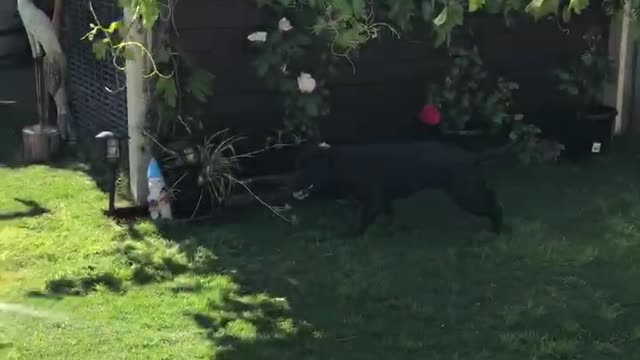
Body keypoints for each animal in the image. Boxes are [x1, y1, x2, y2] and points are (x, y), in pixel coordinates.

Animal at [292, 141, 504, 236]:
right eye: (298, 165)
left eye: (307, 168)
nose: (290, 180)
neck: (343, 164)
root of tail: (471, 157)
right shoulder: (385, 200)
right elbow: (389, 216)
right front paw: (389, 231)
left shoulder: (373, 201)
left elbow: (363, 222)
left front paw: (352, 235)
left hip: (466, 194)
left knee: (493, 206)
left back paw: (497, 229)